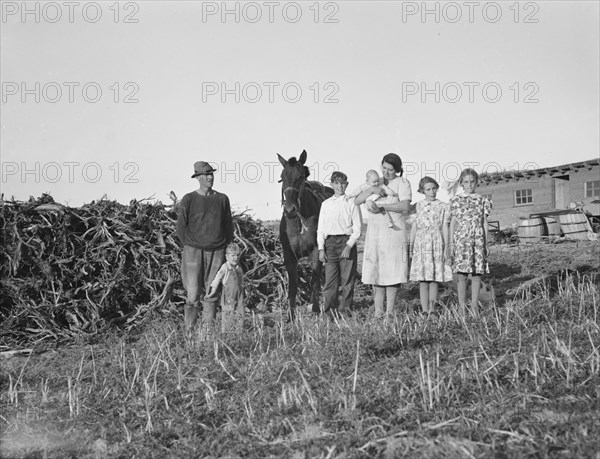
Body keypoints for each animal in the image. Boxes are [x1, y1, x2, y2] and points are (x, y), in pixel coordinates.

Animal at [278, 150, 332, 320]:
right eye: (282, 177)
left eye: (301, 176)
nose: (290, 210)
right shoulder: (289, 255)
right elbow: (293, 286)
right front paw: (291, 315)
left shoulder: (316, 252)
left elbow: (314, 281)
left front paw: (315, 309)